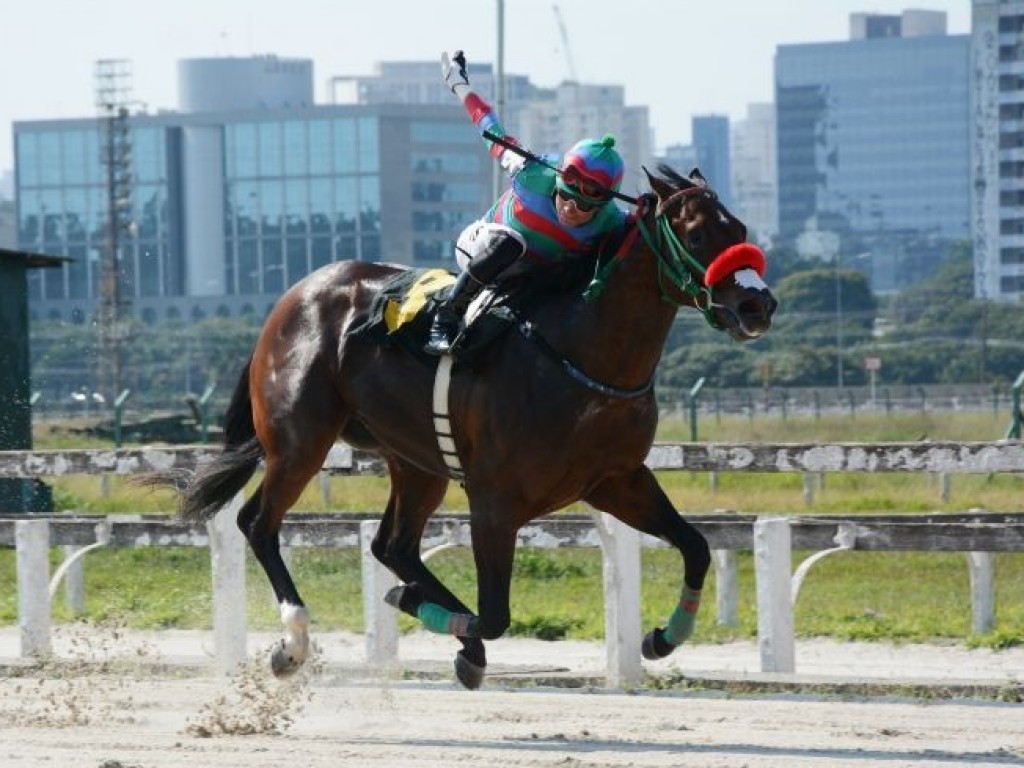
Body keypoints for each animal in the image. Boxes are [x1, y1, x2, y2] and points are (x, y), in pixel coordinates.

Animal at [149, 166, 774, 692]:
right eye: (696, 233)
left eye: (739, 228)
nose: (757, 305)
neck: (581, 356)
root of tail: (291, 297)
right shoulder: (495, 502)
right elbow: (495, 614)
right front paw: (437, 621)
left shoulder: (616, 480)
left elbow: (696, 546)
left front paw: (662, 637)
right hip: (301, 441)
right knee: (259, 523)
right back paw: (294, 645)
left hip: (416, 460)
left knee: (392, 545)